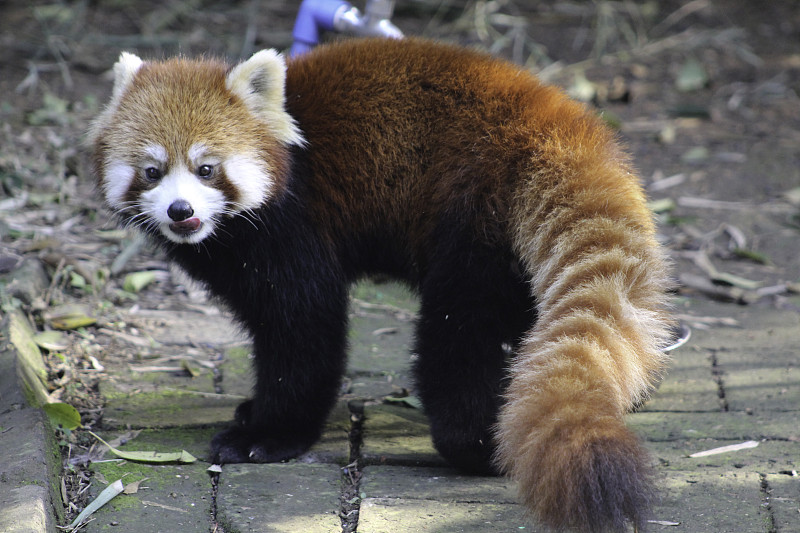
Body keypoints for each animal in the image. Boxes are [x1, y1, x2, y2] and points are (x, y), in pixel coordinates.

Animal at [89, 38, 676, 532]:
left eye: (206, 169)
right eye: (152, 171)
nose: (180, 210)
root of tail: (553, 122)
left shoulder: (296, 228)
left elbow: (303, 330)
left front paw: (268, 435)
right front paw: (254, 412)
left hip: (473, 214)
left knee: (462, 330)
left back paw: (476, 442)